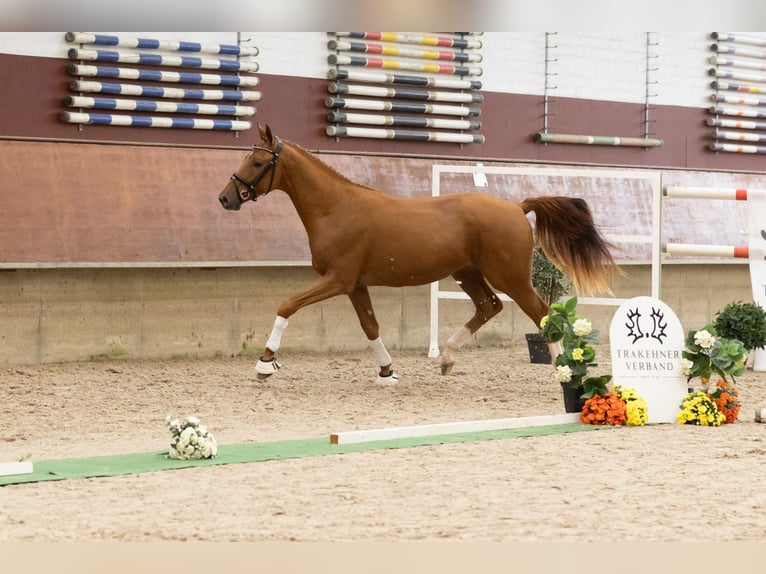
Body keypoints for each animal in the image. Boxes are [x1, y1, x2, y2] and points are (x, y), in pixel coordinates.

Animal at [219, 124, 621, 384]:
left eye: (257, 163)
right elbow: (370, 327)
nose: (225, 198)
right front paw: (387, 372)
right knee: (489, 306)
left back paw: (561, 370)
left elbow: (287, 305)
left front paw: (265, 363)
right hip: (468, 273)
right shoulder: (355, 285)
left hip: (511, 278)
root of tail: (516, 207)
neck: (336, 209)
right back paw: (446, 359)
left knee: (540, 312)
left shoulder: (337, 280)